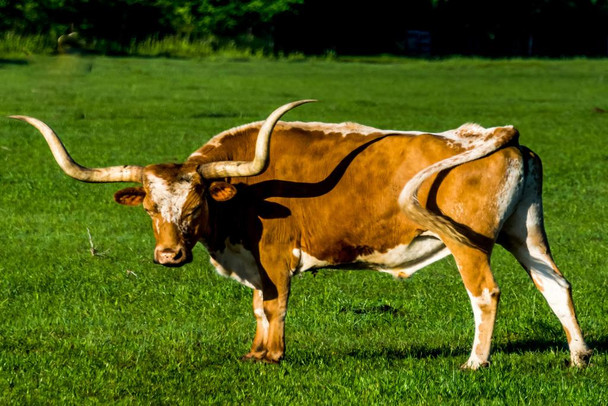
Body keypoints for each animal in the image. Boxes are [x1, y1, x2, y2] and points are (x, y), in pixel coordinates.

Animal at [9, 100, 588, 368]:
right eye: (151, 206)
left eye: (196, 203)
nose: (169, 256)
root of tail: (496, 137)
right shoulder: (252, 260)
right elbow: (257, 307)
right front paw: (254, 352)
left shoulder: (274, 256)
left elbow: (274, 304)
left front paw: (272, 356)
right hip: (525, 232)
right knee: (555, 284)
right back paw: (578, 356)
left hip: (469, 242)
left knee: (485, 293)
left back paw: (475, 361)